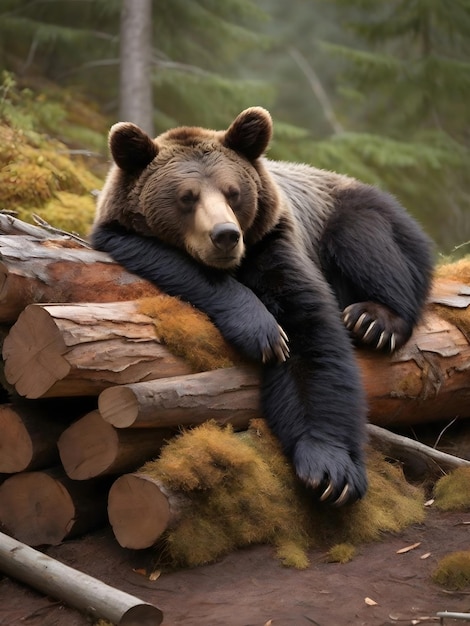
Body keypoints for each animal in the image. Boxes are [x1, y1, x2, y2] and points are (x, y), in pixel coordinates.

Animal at [91, 107, 434, 504]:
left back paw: (373, 320)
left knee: (368, 245)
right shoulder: (127, 238)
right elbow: (188, 269)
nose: (225, 235)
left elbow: (310, 333)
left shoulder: (273, 241)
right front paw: (264, 333)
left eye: (233, 192)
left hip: (355, 214)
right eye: (187, 197)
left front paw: (332, 471)